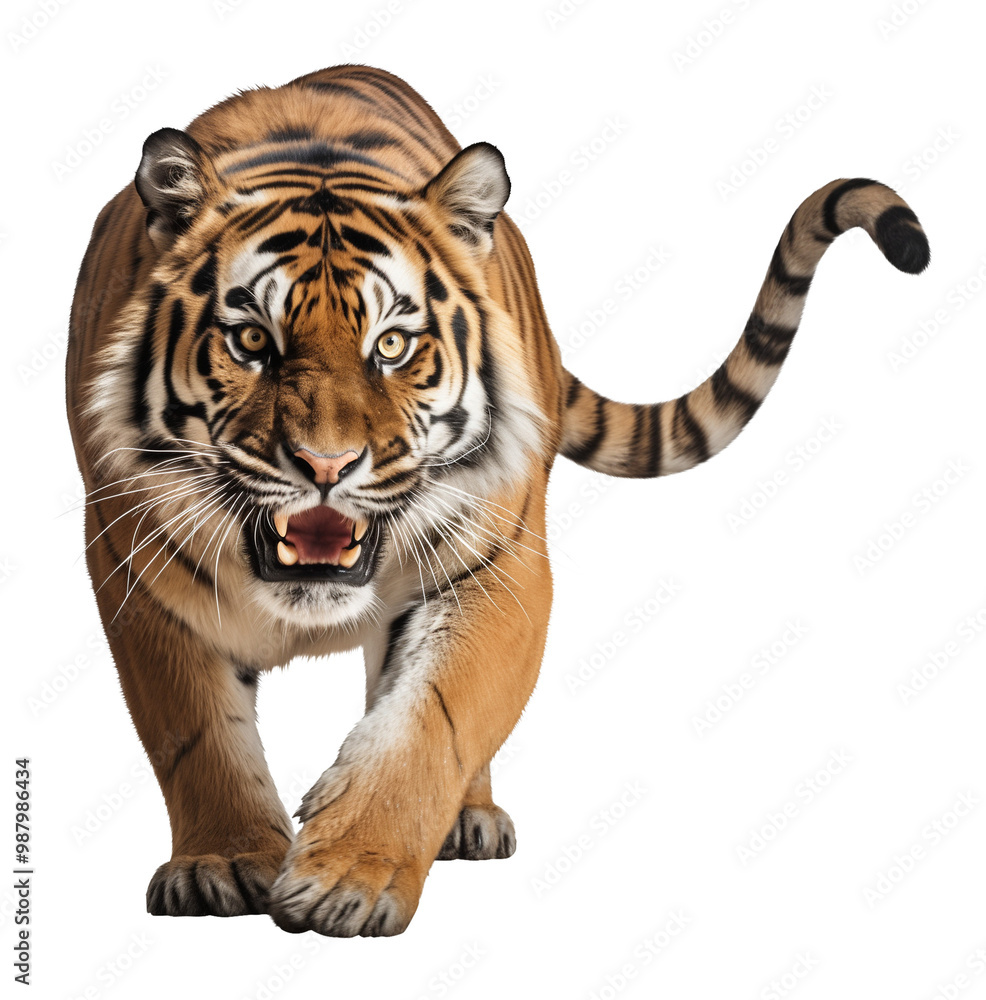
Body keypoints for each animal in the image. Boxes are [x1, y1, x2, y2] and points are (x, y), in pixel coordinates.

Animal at [66, 64, 930, 937]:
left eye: (391, 345)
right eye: (250, 341)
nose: (326, 463)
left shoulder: (500, 566)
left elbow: (434, 718)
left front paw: (351, 876)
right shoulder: (134, 568)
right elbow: (198, 735)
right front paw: (223, 863)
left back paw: (467, 821)